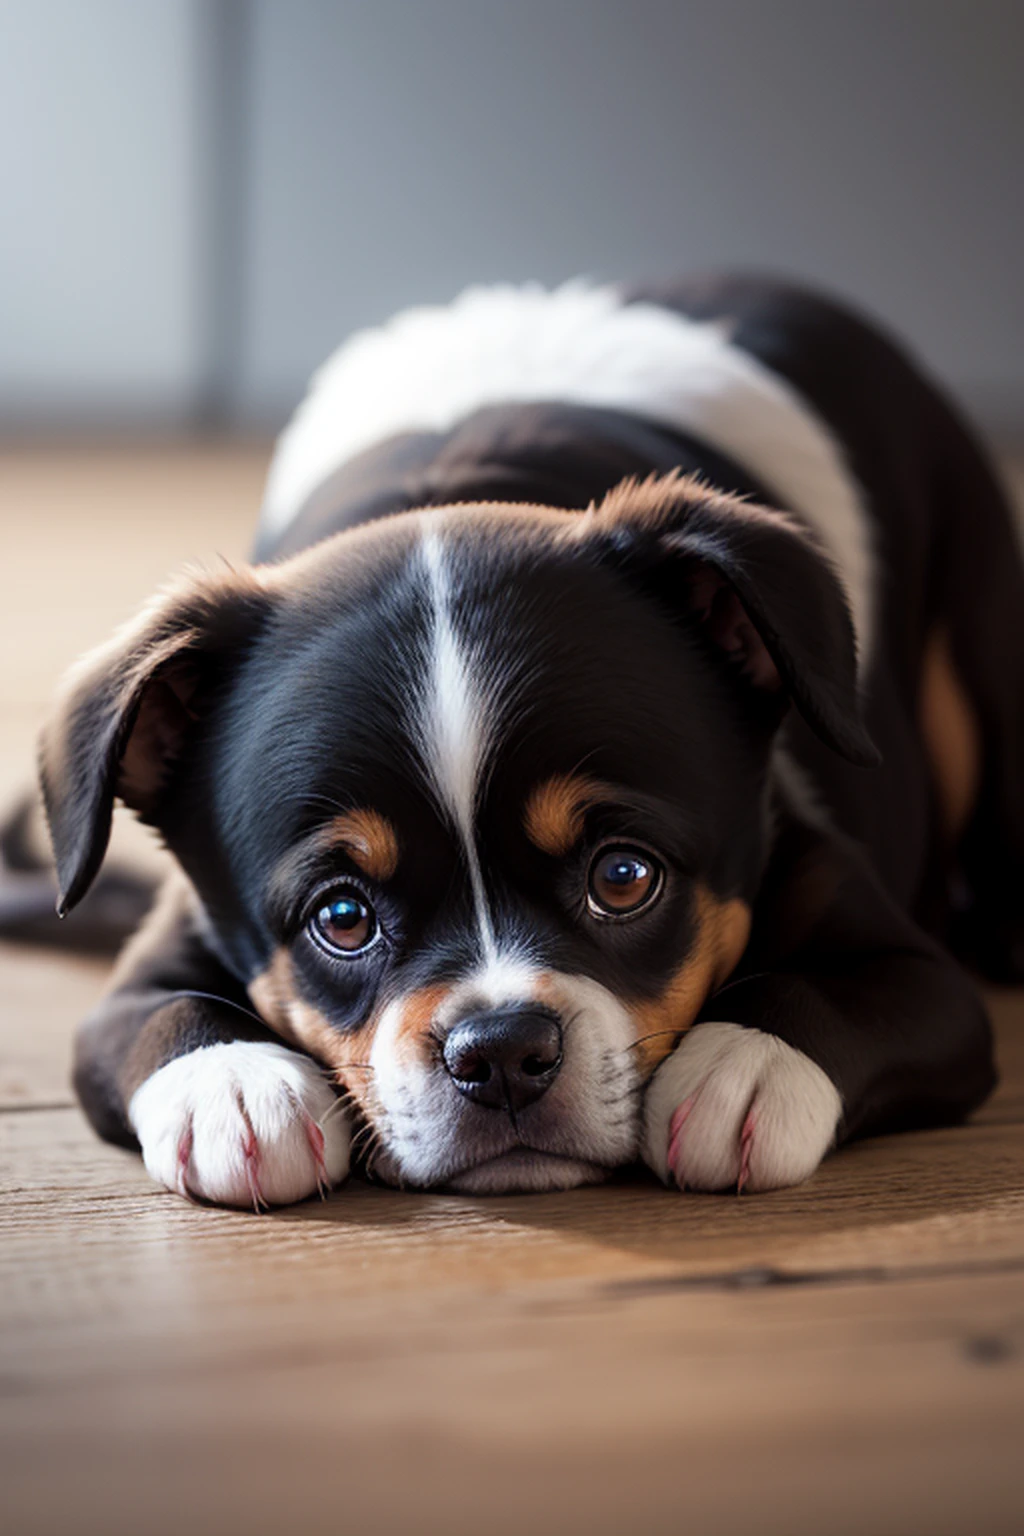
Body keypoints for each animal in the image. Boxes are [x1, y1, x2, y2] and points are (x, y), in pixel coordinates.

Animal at [42, 279, 1024, 1210]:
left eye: (623, 876)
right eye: (341, 917)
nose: (502, 1051)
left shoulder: (914, 973)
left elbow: (833, 991)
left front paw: (745, 1069)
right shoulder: (168, 943)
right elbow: (159, 1014)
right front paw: (237, 1092)